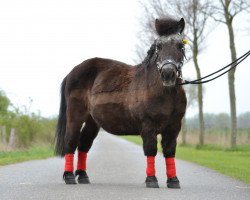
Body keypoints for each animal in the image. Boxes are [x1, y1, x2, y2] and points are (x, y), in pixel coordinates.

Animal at [55, 18, 187, 188]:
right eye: (159, 46)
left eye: (180, 45)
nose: (168, 73)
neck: (162, 91)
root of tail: (72, 72)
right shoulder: (148, 125)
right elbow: (150, 149)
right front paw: (151, 180)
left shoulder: (174, 126)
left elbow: (169, 151)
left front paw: (173, 180)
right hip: (75, 116)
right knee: (71, 141)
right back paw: (69, 176)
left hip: (92, 121)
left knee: (84, 144)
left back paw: (83, 176)